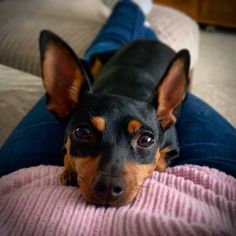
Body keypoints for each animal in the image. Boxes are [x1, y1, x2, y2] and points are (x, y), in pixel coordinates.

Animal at [38, 30, 190, 206]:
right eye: (82, 132)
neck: (123, 90)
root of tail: (152, 40)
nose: (108, 187)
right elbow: (67, 153)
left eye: (146, 140)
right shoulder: (65, 141)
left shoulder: (172, 149)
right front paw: (70, 171)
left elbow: (158, 164)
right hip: (97, 59)